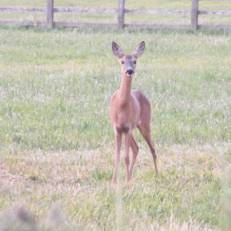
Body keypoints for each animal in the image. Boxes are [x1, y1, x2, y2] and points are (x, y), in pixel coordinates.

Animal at [109, 40, 158, 185]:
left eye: (135, 61)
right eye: (122, 61)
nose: (129, 71)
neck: (121, 106)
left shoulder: (128, 127)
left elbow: (125, 157)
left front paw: (125, 181)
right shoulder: (117, 128)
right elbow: (117, 155)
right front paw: (114, 182)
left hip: (144, 124)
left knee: (152, 148)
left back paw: (157, 175)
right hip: (132, 129)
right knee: (136, 148)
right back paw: (130, 176)